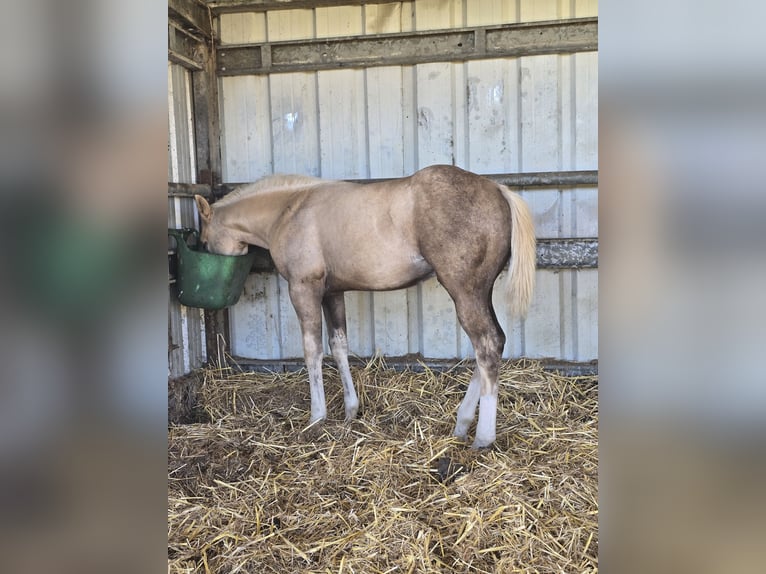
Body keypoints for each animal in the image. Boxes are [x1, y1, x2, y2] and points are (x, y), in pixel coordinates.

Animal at [195, 164, 536, 448]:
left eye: (204, 241)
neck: (289, 210)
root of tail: (498, 190)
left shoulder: (303, 289)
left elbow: (312, 350)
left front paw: (316, 417)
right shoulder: (332, 293)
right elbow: (338, 346)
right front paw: (350, 410)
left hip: (464, 291)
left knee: (486, 345)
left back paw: (483, 438)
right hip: (480, 292)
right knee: (493, 343)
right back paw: (461, 425)